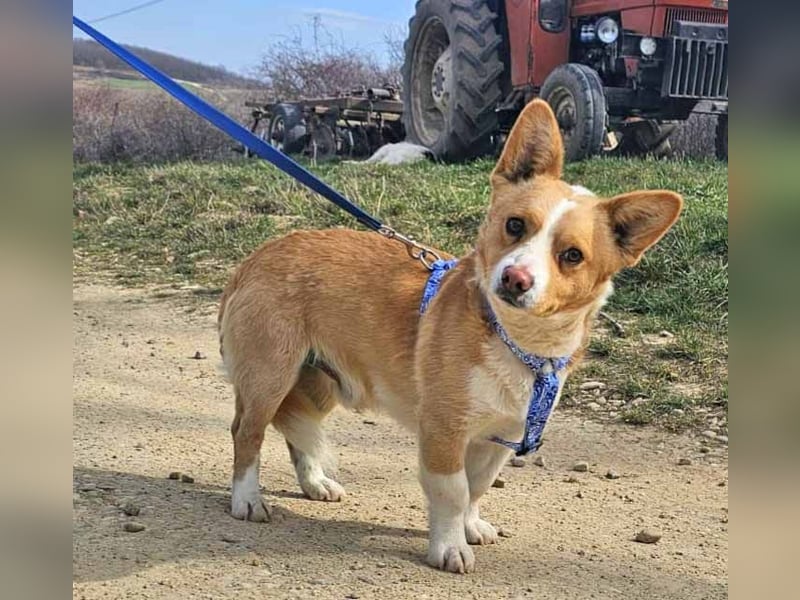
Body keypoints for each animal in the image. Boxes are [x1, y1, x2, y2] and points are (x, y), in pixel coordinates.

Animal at [218, 99, 682, 573]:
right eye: (516, 225)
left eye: (572, 255)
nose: (515, 279)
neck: (513, 341)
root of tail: (257, 257)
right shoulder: (443, 433)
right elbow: (453, 491)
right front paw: (448, 546)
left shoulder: (497, 438)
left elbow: (476, 488)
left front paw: (470, 527)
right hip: (270, 379)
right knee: (247, 433)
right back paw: (247, 498)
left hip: (319, 385)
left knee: (297, 432)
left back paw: (314, 483)